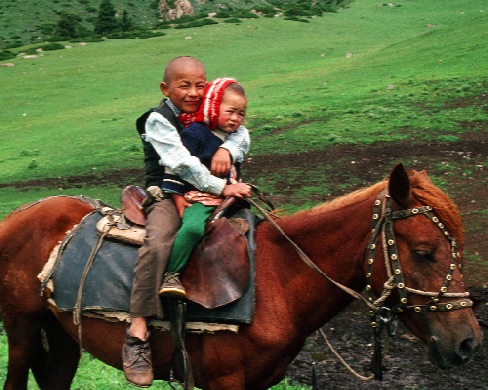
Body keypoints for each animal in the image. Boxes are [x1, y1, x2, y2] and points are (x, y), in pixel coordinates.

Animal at [0, 163, 480, 388]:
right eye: (424, 252)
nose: (468, 342)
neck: (278, 278)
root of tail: (19, 215)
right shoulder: (225, 381)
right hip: (21, 332)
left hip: (62, 335)